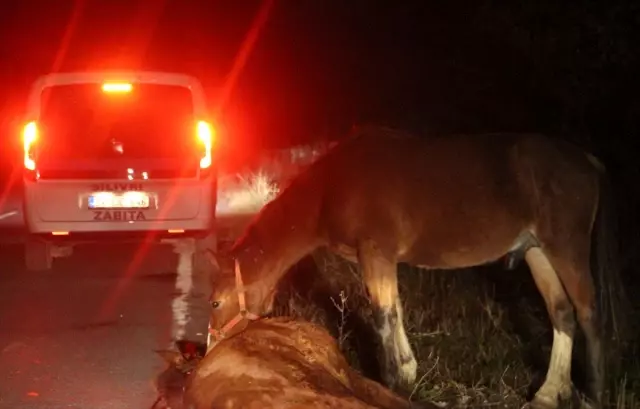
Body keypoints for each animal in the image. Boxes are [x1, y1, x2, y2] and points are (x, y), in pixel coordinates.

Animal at [209, 126, 624, 408]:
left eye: (214, 302)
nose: (211, 350)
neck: (333, 186)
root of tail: (589, 161)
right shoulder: (382, 258)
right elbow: (395, 311)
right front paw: (408, 370)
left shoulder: (375, 252)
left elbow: (383, 316)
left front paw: (394, 379)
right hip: (538, 252)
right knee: (562, 313)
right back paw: (549, 393)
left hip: (565, 248)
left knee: (589, 314)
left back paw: (593, 394)